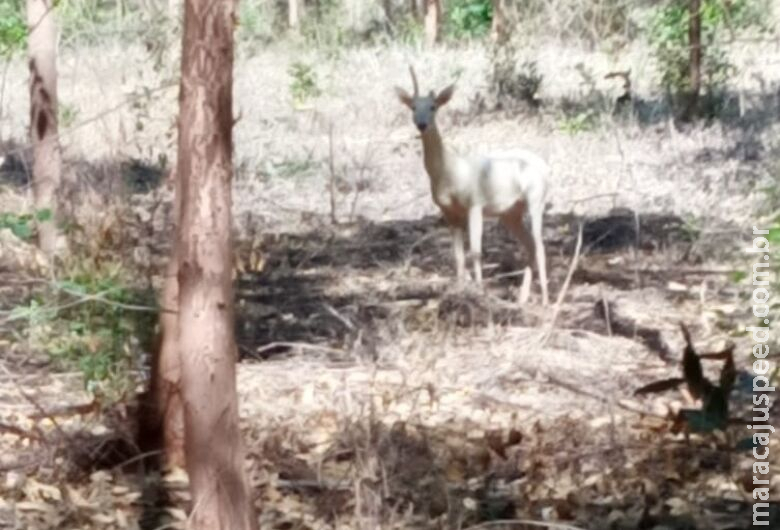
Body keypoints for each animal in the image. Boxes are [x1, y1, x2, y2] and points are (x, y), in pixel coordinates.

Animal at [396, 65, 548, 304]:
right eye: (413, 106)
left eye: (433, 107)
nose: (422, 124)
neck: (450, 172)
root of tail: (546, 168)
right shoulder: (449, 213)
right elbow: (457, 255)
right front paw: (460, 290)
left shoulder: (475, 204)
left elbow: (476, 251)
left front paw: (479, 291)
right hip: (511, 213)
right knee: (530, 245)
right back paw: (522, 299)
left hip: (536, 200)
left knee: (540, 246)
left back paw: (546, 300)